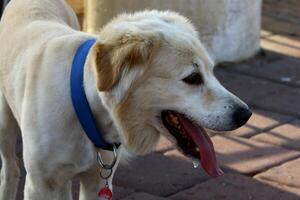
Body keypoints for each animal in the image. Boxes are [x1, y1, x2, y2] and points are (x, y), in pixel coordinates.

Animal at [0, 0, 252, 200]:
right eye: (192, 78)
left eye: (212, 71)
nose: (246, 114)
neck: (86, 106)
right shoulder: (41, 185)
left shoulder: (97, 181)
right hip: (5, 126)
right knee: (10, 169)